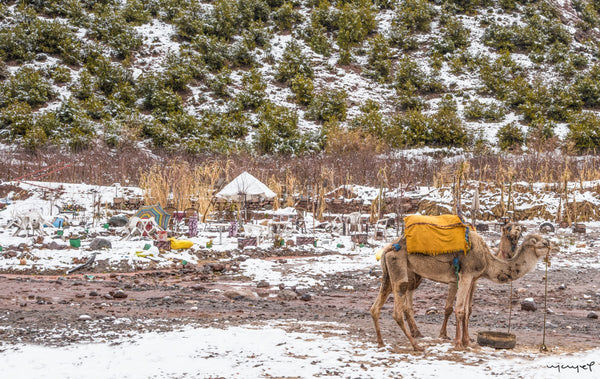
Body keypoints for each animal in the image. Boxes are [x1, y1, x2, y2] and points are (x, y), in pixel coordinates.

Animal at [370, 233, 556, 352]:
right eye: (538, 241)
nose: (549, 244)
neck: (488, 260)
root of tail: (389, 247)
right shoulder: (466, 275)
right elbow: (459, 310)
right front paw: (458, 344)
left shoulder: (473, 278)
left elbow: (467, 310)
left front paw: (468, 342)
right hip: (399, 268)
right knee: (397, 308)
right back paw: (416, 345)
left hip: (390, 272)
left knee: (375, 307)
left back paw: (381, 342)